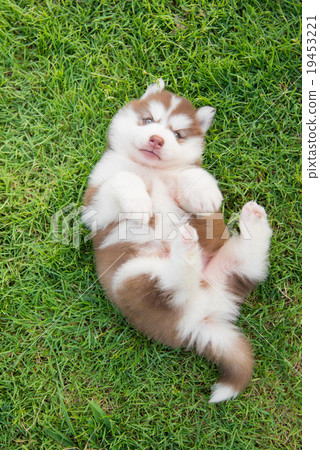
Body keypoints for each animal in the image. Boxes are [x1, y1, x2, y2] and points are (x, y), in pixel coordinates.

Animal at [82, 79, 270, 402]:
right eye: (148, 120)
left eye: (178, 135)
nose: (157, 140)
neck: (151, 171)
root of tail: (196, 322)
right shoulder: (95, 203)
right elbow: (121, 180)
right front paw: (139, 202)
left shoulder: (184, 173)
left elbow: (192, 174)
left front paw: (205, 195)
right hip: (132, 277)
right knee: (173, 284)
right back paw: (186, 247)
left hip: (228, 269)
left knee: (249, 262)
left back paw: (253, 220)